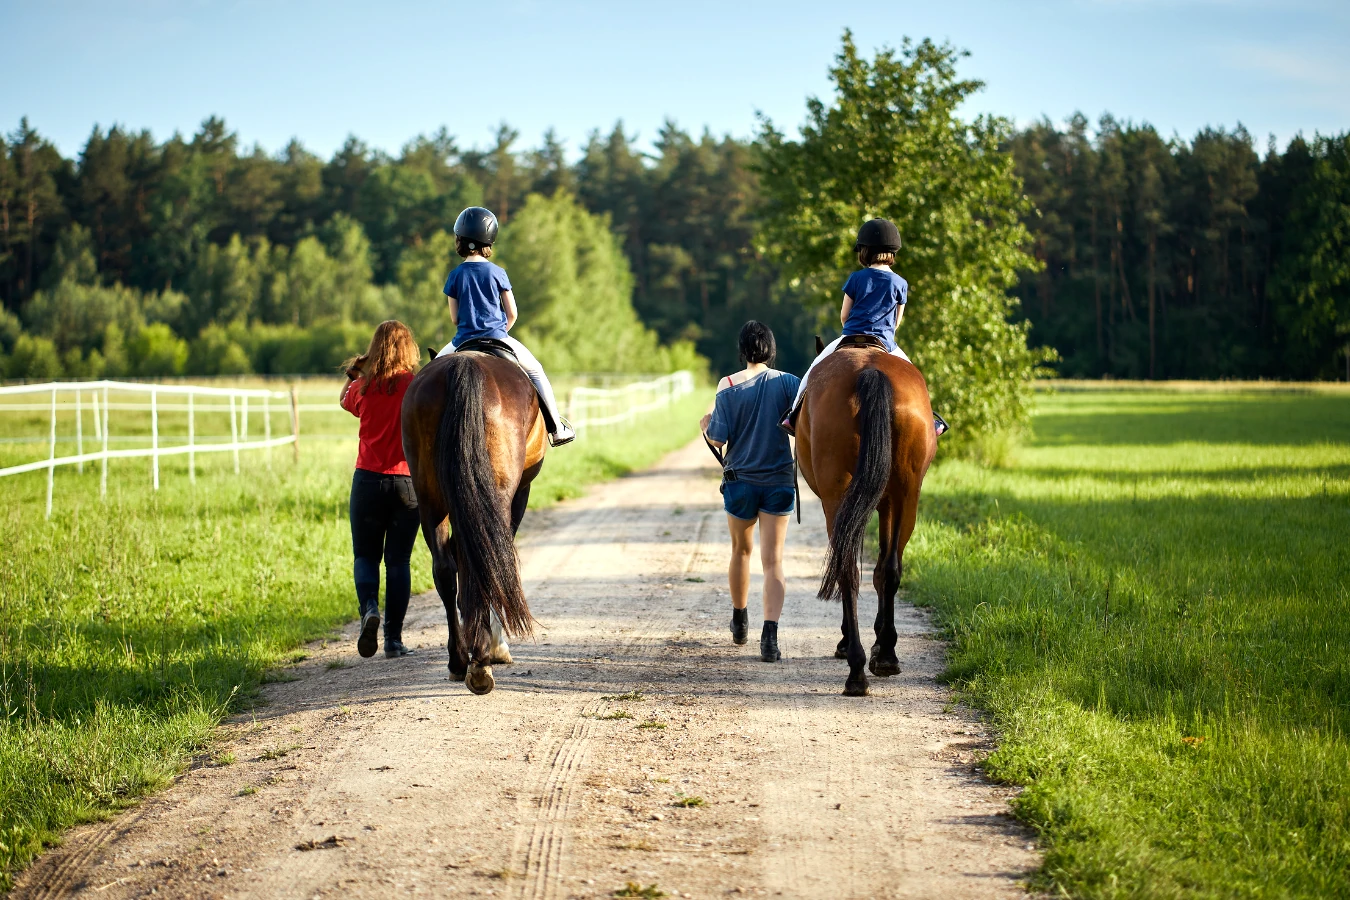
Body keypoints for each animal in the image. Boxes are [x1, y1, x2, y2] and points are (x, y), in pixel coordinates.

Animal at [399, 348, 548, 696]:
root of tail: (463, 365)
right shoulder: (518, 495)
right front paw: (495, 645)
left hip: (430, 498)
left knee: (445, 568)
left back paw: (458, 660)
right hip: (498, 493)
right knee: (483, 560)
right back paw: (481, 661)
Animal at [793, 341, 934, 701]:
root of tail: (871, 371)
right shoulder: (886, 505)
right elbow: (883, 570)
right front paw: (881, 645)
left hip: (839, 498)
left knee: (848, 569)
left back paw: (856, 666)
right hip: (906, 496)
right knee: (888, 568)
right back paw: (884, 657)